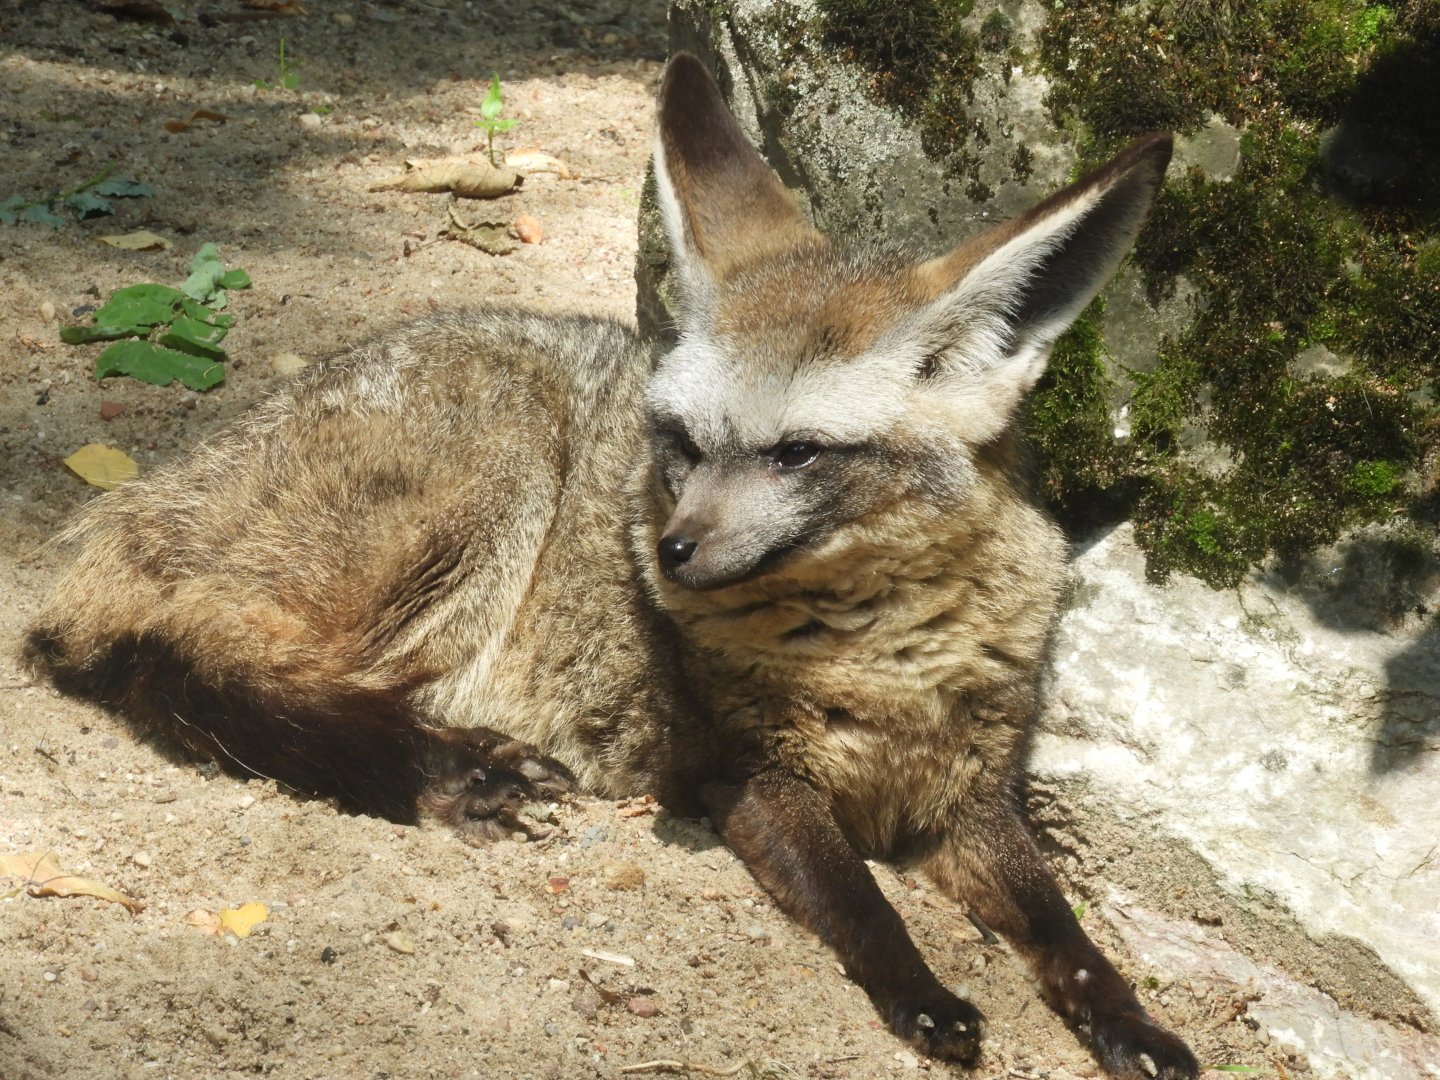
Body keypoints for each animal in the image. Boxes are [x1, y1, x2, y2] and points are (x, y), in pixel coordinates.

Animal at [25, 53, 1196, 1078]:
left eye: (797, 453)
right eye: (679, 440)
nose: (671, 555)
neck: (883, 658)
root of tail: (145, 491)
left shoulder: (973, 799)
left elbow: (1064, 931)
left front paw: (1135, 1022)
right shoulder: (749, 777)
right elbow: (863, 903)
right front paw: (927, 997)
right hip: (496, 467)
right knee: (217, 672)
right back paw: (449, 769)